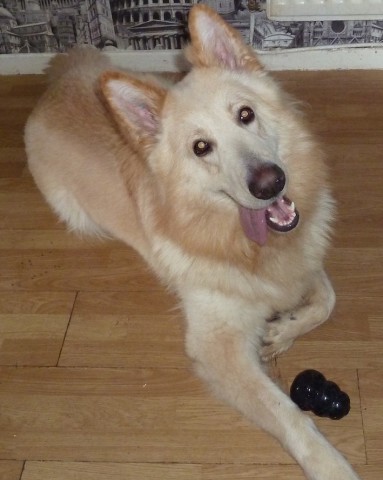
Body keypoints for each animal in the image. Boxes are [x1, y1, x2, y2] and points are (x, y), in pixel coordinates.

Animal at [24, 4, 364, 480]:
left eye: (245, 114)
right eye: (201, 147)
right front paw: (331, 465)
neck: (250, 246)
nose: (270, 183)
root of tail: (58, 81)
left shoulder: (303, 260)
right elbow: (288, 414)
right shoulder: (216, 347)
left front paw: (282, 331)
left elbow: (327, 300)